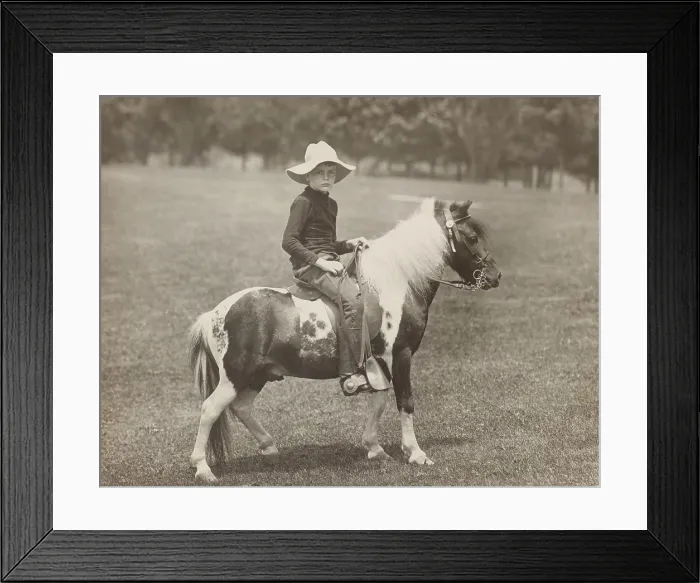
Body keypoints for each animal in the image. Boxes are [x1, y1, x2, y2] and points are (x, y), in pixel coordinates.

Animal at [188, 197, 501, 483]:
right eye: (472, 237)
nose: (495, 276)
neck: (397, 284)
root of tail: (214, 314)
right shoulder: (400, 355)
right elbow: (405, 401)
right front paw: (415, 452)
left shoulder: (379, 363)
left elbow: (379, 400)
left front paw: (375, 448)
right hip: (235, 376)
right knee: (210, 409)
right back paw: (203, 468)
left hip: (259, 374)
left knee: (240, 407)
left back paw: (270, 447)